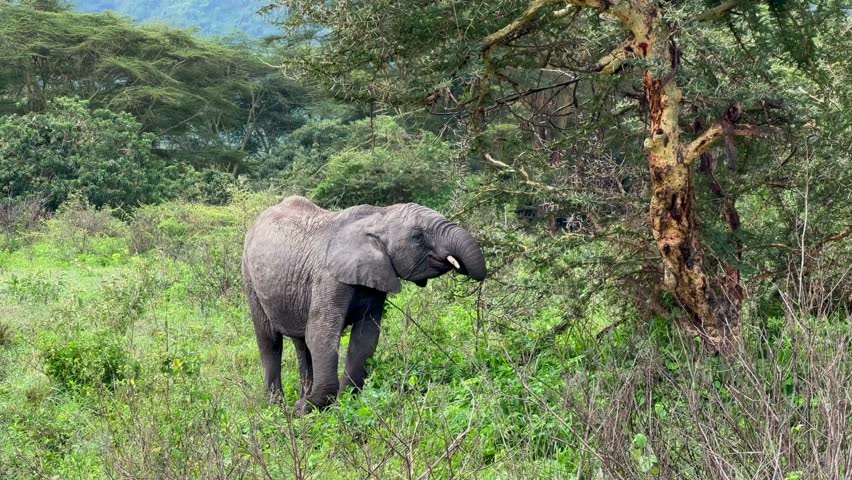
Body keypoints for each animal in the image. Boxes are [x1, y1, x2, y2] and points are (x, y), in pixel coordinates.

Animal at [242, 196, 486, 414]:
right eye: (417, 236)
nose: (462, 266)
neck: (378, 215)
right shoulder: (327, 277)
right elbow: (321, 334)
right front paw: (306, 409)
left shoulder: (377, 278)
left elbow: (364, 340)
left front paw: (343, 404)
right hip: (249, 277)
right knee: (270, 341)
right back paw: (277, 407)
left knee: (301, 344)